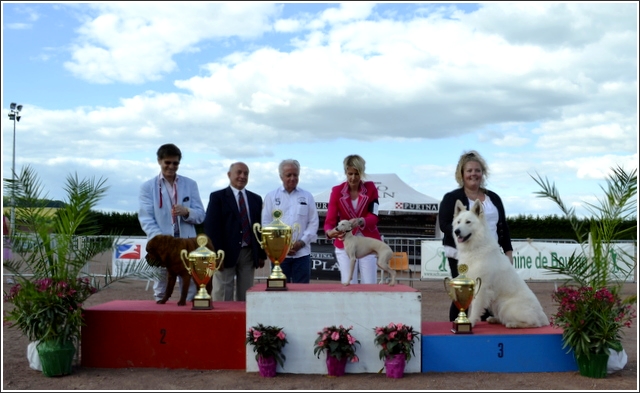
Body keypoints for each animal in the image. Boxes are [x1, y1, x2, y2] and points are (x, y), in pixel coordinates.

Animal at [450, 199, 552, 328]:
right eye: (458, 222)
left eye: (468, 222)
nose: (456, 231)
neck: (475, 248)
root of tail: (544, 318)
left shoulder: (481, 286)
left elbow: (475, 307)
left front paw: (470, 321)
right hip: (496, 305)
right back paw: (495, 319)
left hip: (506, 307)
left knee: (534, 323)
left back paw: (513, 324)